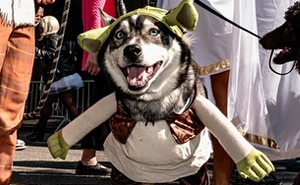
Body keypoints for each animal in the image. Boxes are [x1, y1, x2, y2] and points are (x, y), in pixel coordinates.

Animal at [48, 1, 276, 184]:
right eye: (119, 35)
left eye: (154, 32)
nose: (132, 50)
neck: (151, 102)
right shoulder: (122, 172)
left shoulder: (196, 173)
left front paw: (253, 162)